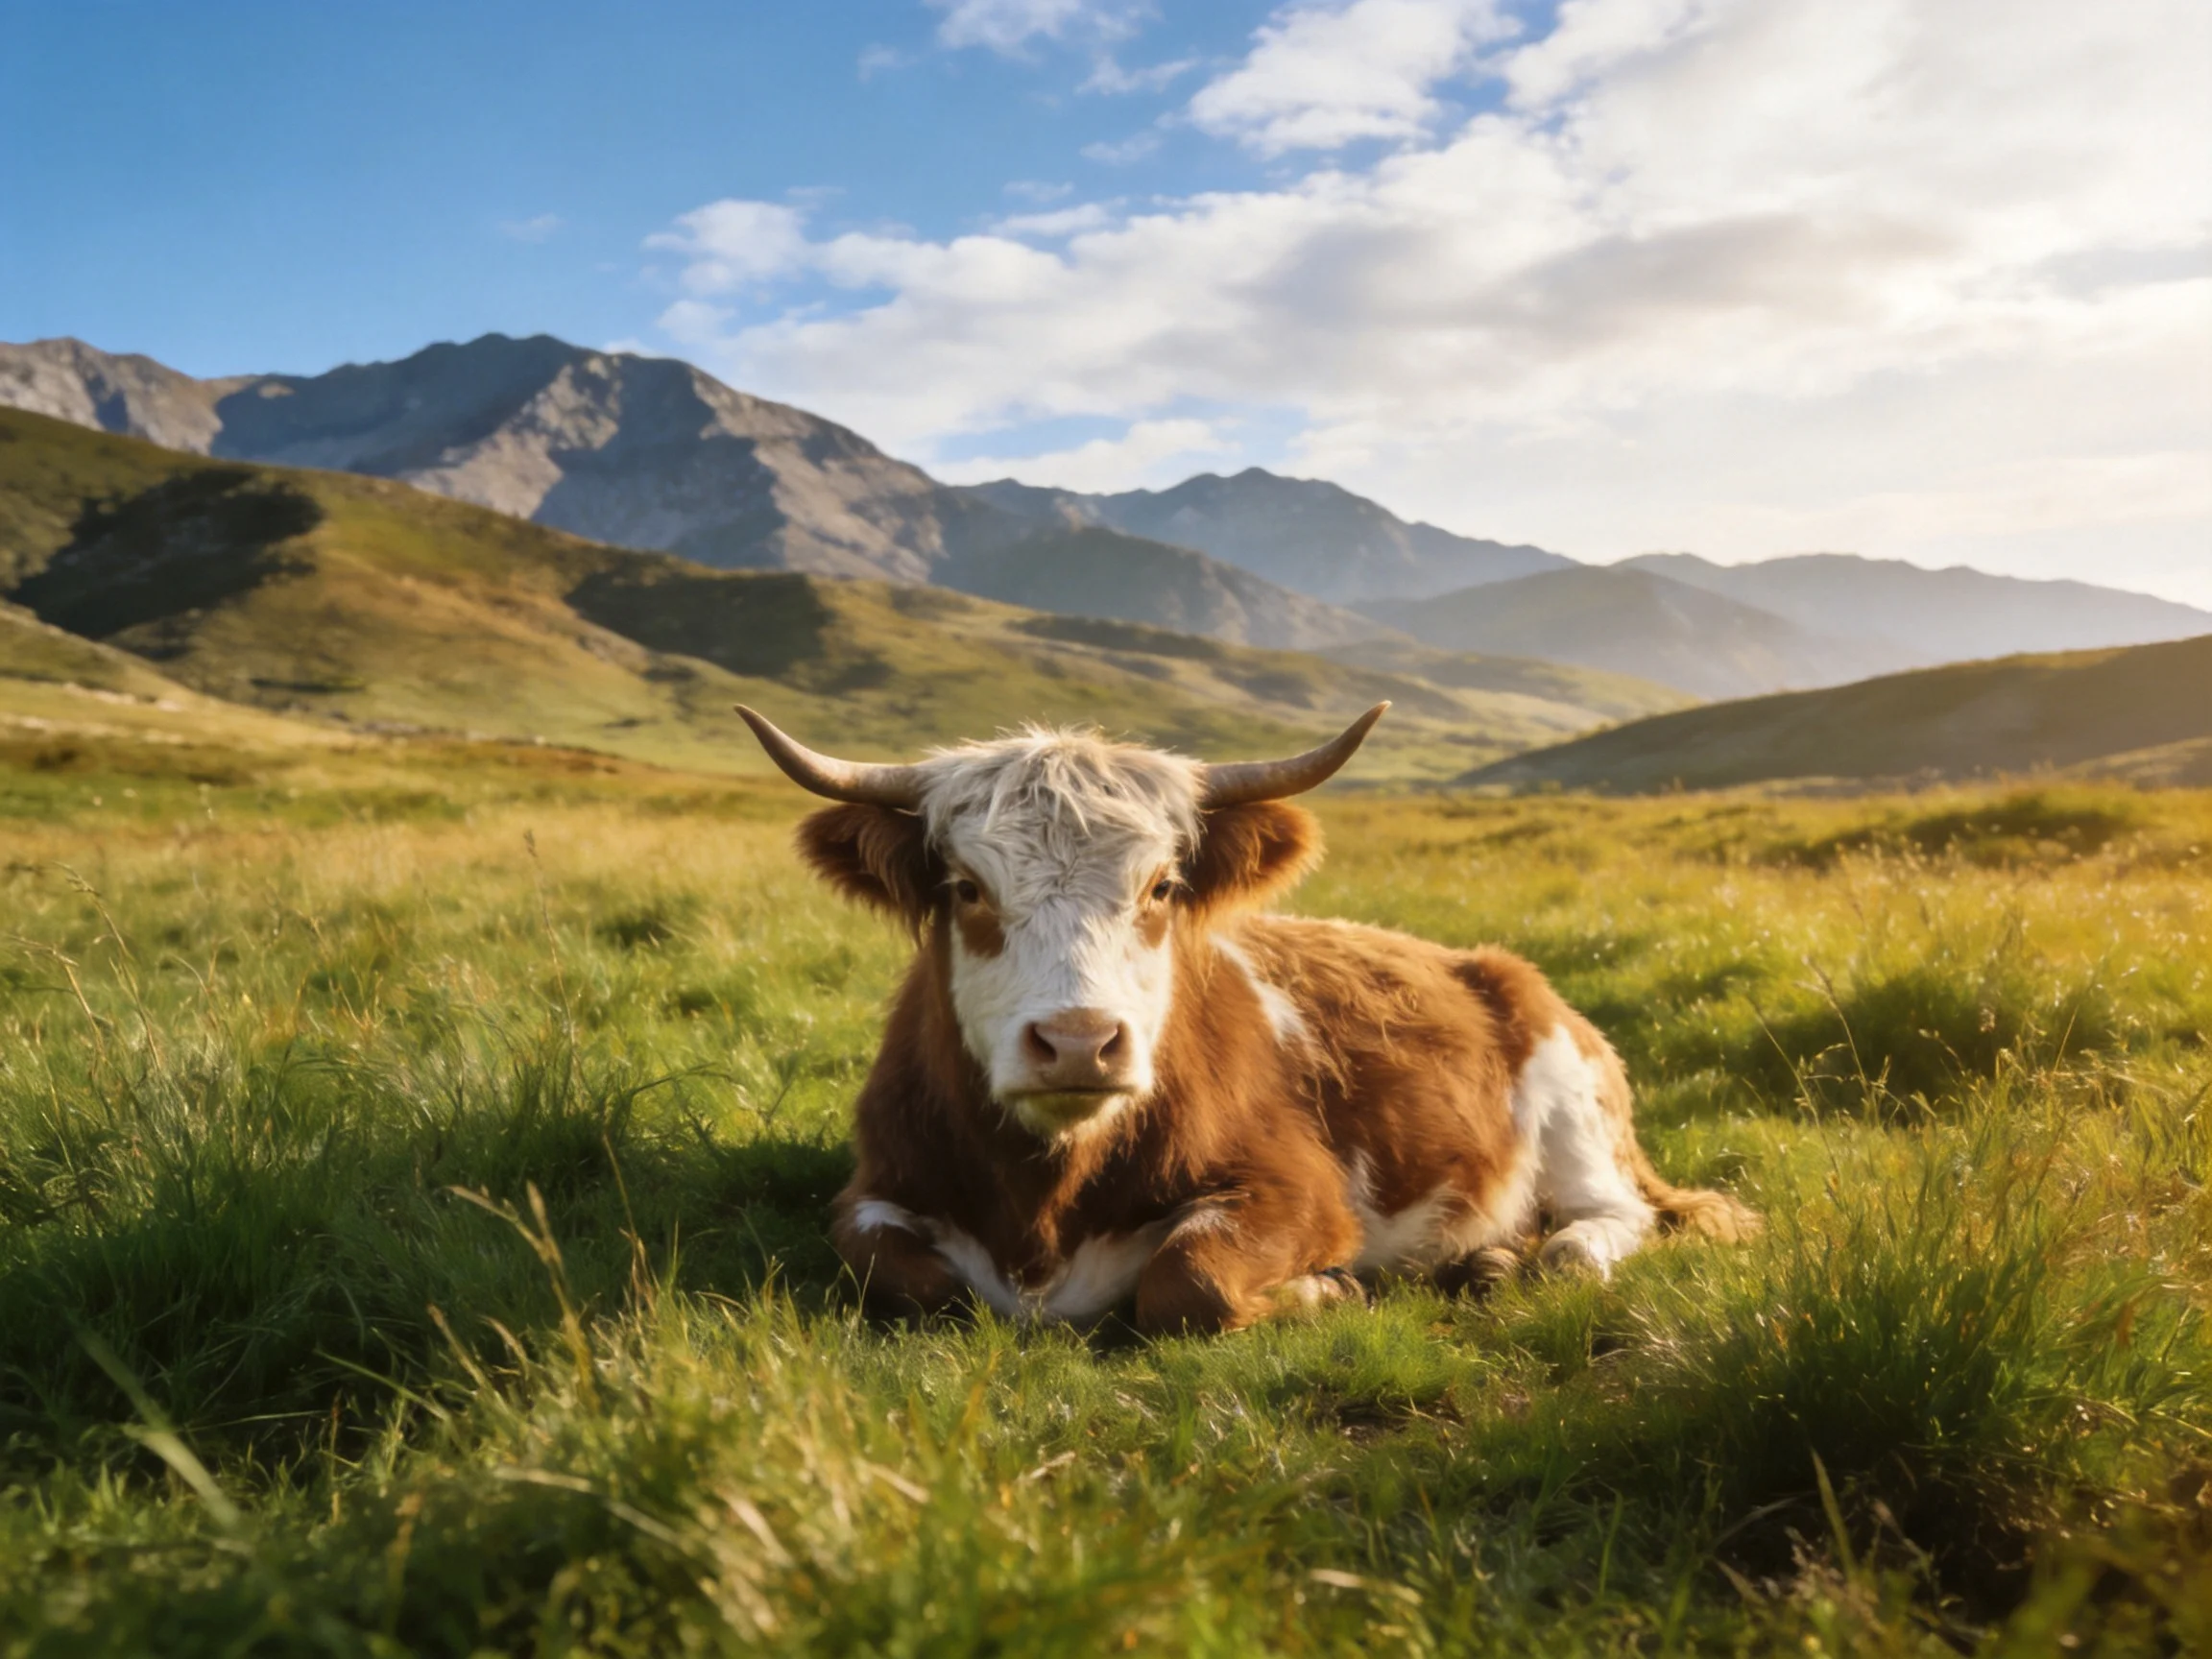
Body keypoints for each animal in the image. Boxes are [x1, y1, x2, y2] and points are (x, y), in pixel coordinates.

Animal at [739, 704, 1756, 1334]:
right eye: (966, 887)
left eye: (1161, 886)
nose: (1079, 1043)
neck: (1045, 1203)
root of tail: (1492, 965)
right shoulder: (876, 1185)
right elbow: (901, 1275)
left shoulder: (1295, 1189)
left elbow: (1186, 1281)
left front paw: (1329, 1290)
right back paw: (1493, 1262)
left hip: (1574, 1112)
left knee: (1607, 1223)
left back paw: (1527, 1260)